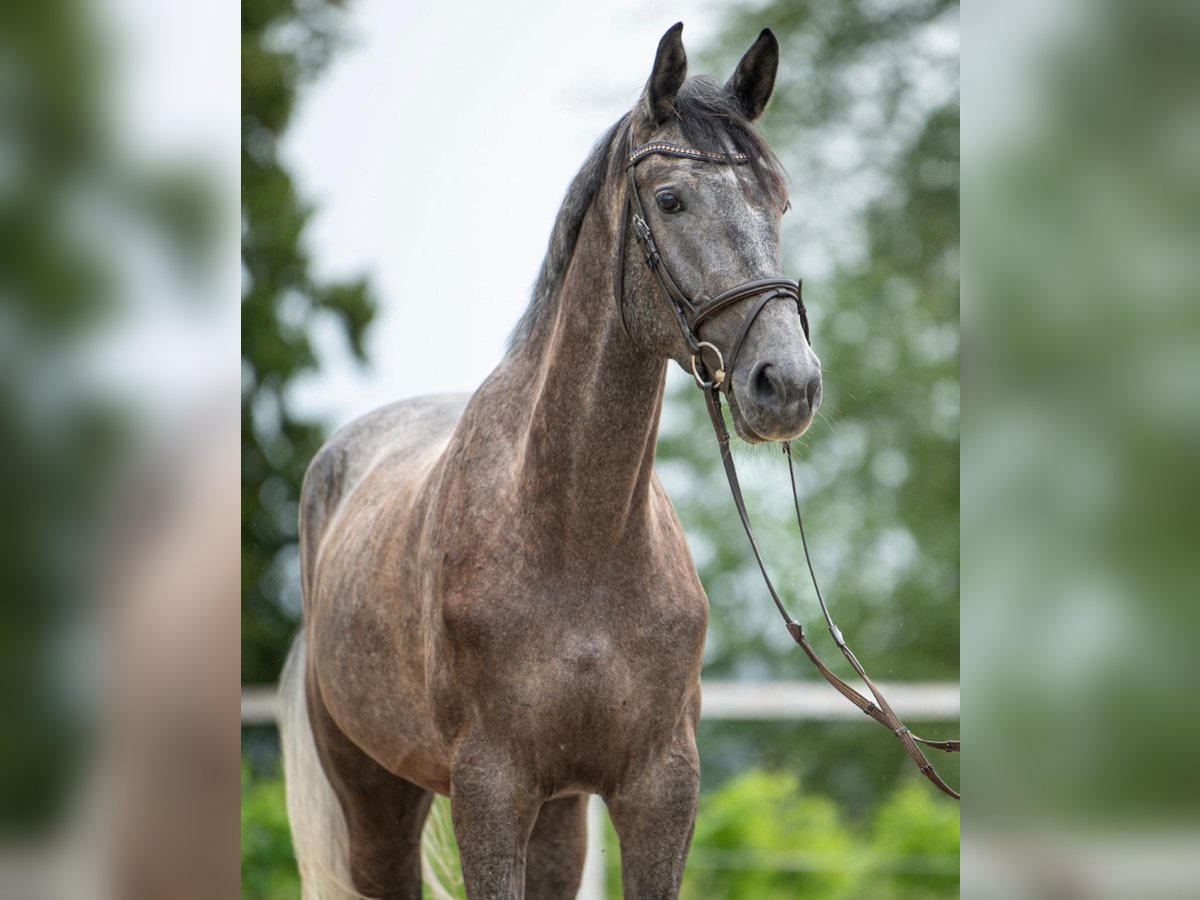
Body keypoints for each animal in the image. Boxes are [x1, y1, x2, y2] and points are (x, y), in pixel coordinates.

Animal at [282, 24, 820, 897]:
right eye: (671, 200)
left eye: (779, 202)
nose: (789, 383)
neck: (578, 538)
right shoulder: (491, 789)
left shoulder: (658, 790)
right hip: (376, 799)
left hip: (559, 813)